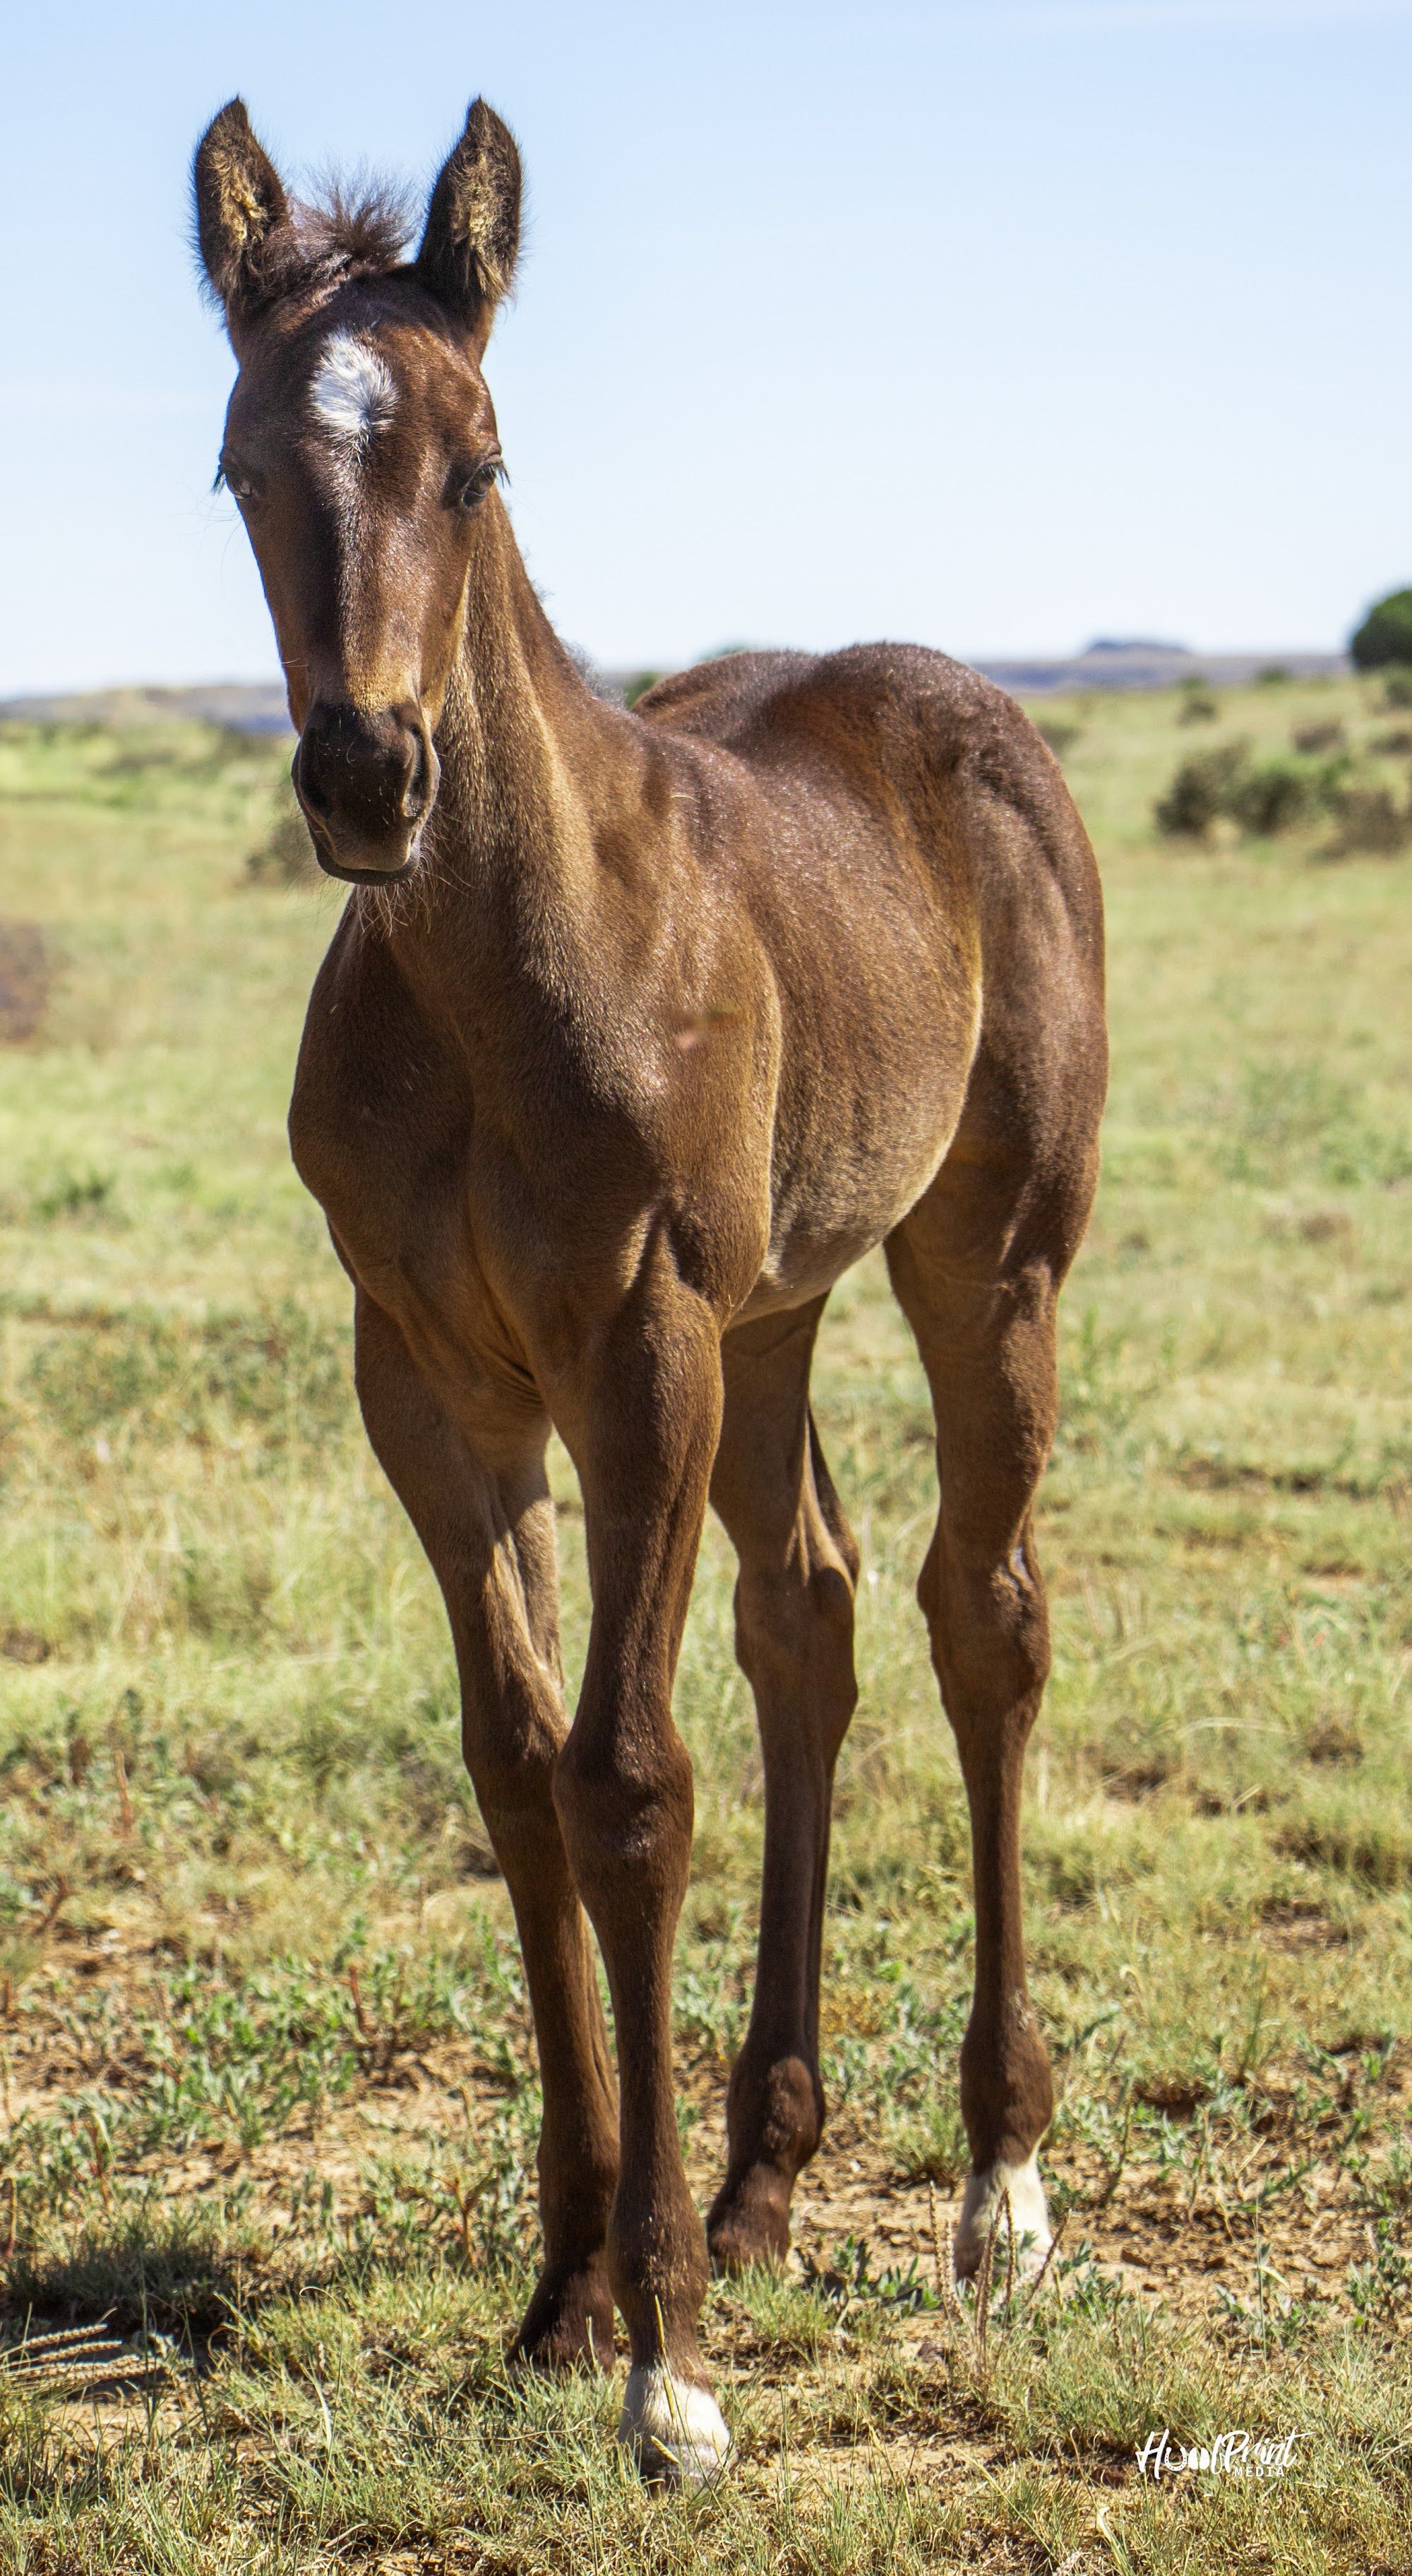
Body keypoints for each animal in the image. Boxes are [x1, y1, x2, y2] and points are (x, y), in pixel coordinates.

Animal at [193, 95, 1107, 2482]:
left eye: (478, 461)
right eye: (243, 465)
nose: (368, 775)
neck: (499, 979)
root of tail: (965, 708)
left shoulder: (637, 1347)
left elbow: (626, 1776)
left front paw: (668, 2362)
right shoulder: (428, 1379)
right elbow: (516, 1769)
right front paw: (576, 2274)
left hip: (984, 1258)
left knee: (984, 1614)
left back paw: (998, 2185)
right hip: (779, 1311)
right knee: (813, 1613)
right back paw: (771, 2171)